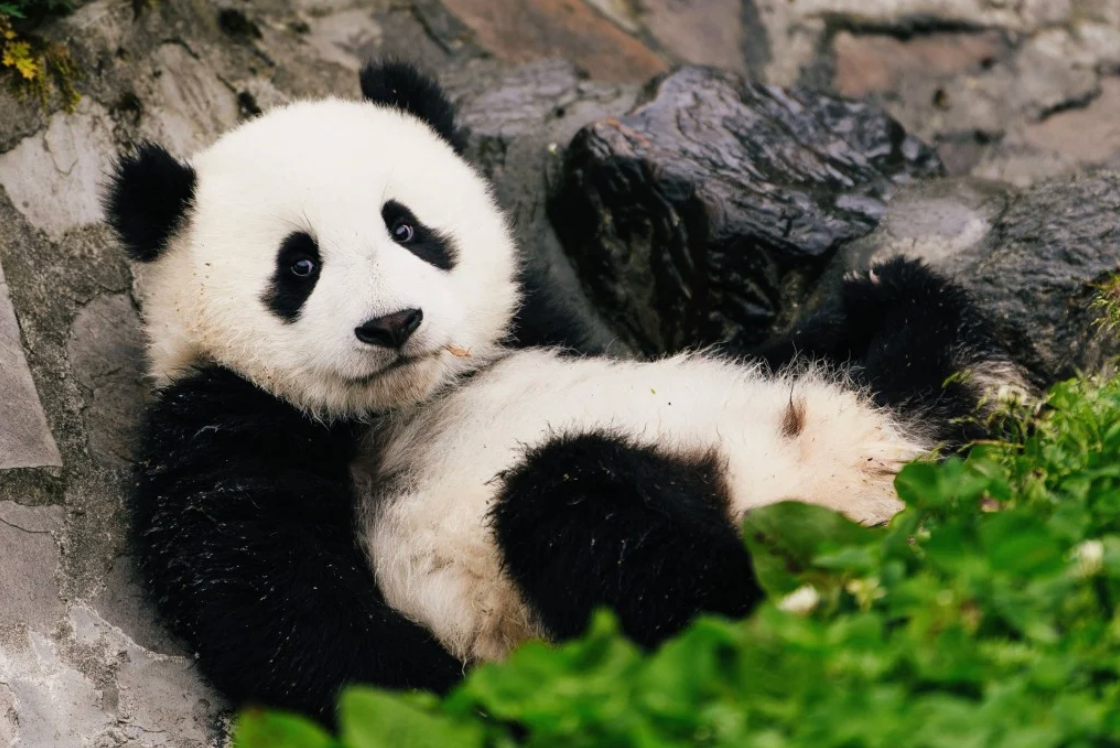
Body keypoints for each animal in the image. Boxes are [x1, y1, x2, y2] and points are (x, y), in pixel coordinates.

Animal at [104, 61, 1024, 721]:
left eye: (407, 227)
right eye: (299, 265)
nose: (394, 322)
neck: (410, 397)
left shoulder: (538, 323)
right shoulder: (222, 423)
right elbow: (277, 604)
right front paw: (453, 703)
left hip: (882, 425)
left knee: (911, 339)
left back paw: (911, 328)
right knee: (582, 510)